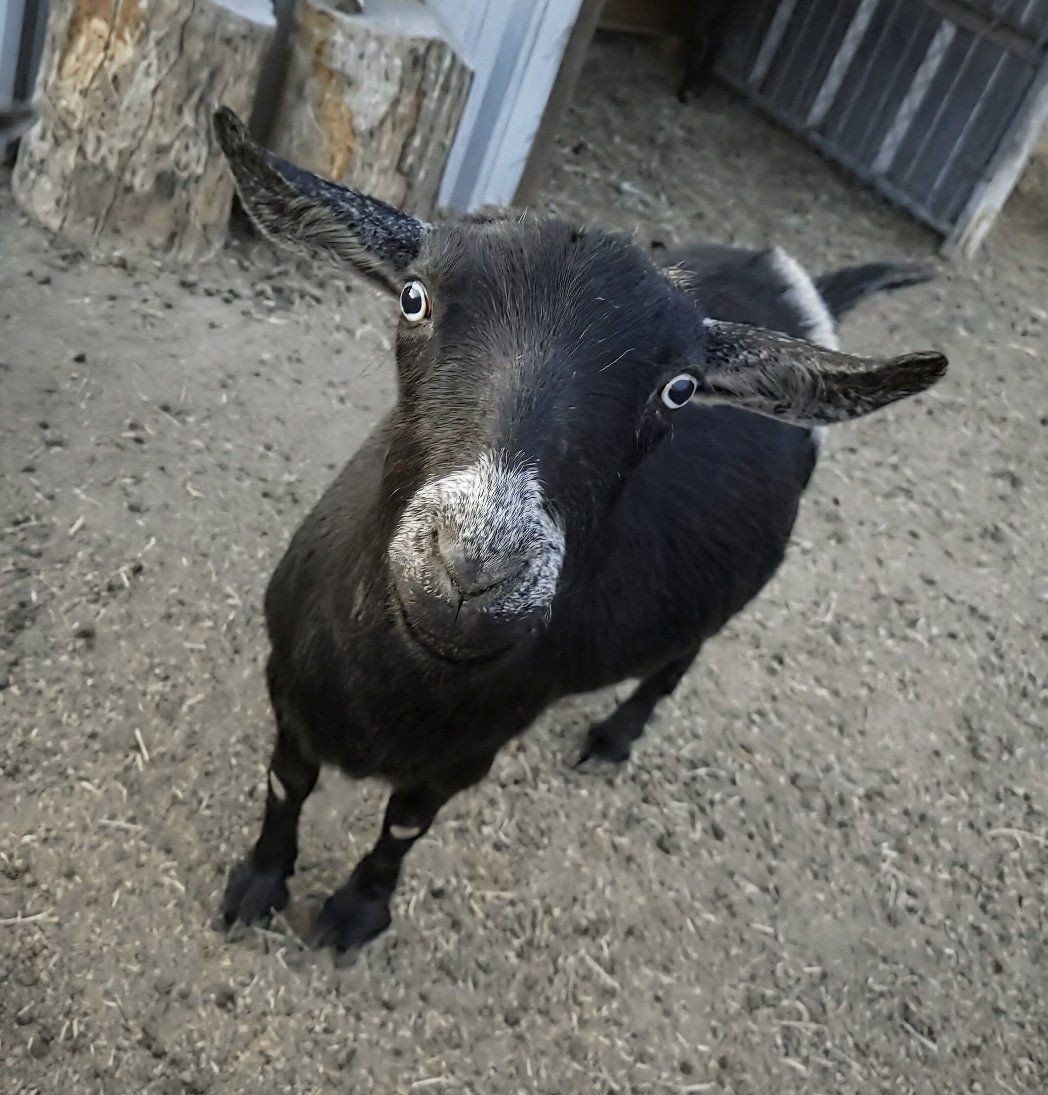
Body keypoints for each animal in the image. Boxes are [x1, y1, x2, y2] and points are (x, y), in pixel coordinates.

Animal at [213, 108, 947, 953]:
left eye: (680, 388)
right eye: (412, 298)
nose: (474, 567)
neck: (392, 681)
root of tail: (793, 285)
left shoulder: (471, 750)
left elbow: (405, 825)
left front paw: (355, 914)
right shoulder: (288, 680)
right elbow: (287, 782)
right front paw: (257, 884)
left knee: (678, 659)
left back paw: (614, 737)